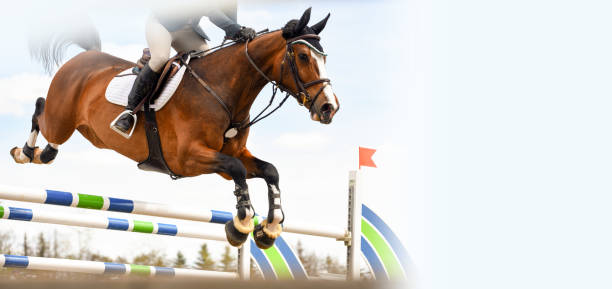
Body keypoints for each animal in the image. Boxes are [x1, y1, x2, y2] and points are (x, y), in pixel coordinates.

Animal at [10, 8, 340, 248]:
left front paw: (269, 228)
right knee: (41, 109)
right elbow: (237, 170)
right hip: (60, 118)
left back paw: (42, 153)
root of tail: (85, 56)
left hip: (91, 134)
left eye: (324, 57)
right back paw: (24, 152)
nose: (329, 107)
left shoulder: (228, 156)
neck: (224, 91)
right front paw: (242, 223)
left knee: (53, 139)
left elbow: (269, 171)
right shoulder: (188, 158)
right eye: (303, 56)